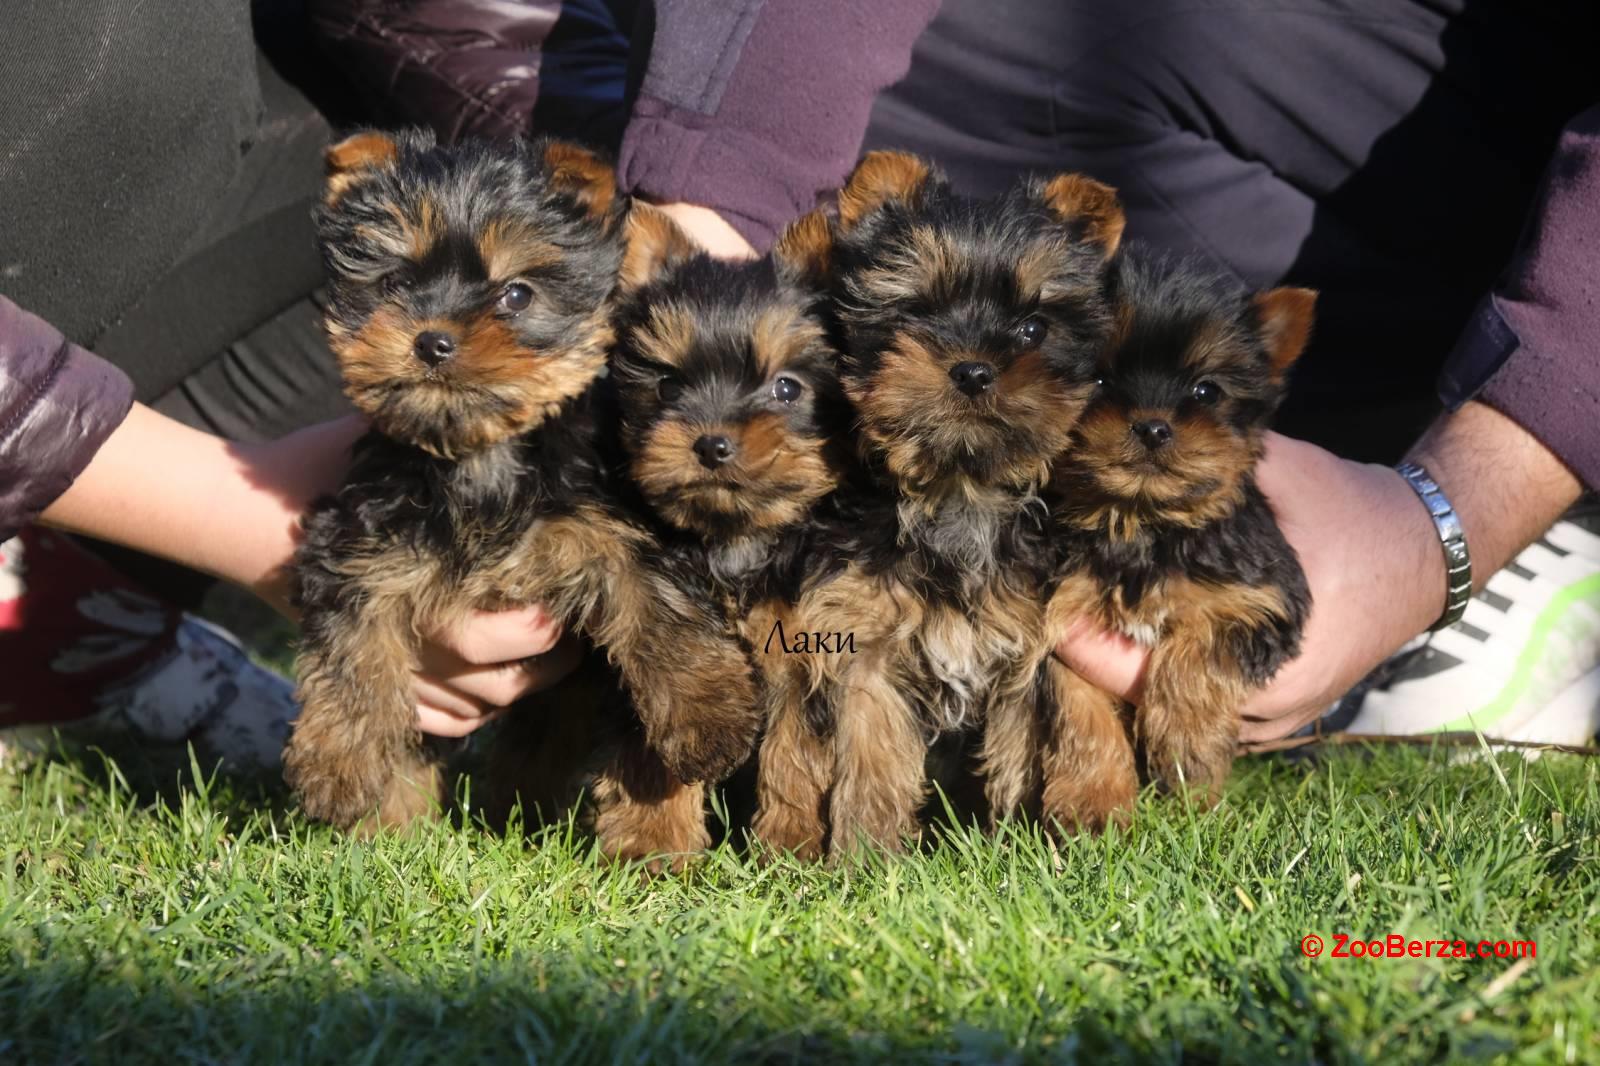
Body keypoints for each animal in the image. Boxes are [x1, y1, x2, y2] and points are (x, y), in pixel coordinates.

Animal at [286, 132, 755, 832]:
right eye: (394, 282)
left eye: (516, 295)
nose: (433, 341)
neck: (482, 457)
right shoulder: (358, 538)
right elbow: (352, 645)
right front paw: (336, 764)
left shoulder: (617, 526)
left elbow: (662, 604)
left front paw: (709, 717)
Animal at [758, 149, 1126, 851]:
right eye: (918, 312)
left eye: (1033, 328)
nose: (974, 369)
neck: (958, 488)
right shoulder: (865, 642)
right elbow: (872, 755)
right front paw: (867, 855)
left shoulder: (1021, 642)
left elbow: (1016, 751)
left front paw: (1014, 845)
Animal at [1030, 251, 1318, 832]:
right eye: (1098, 378)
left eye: (1206, 391)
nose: (1153, 427)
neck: (1137, 523)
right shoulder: (1058, 620)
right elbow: (1077, 703)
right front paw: (1093, 804)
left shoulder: (1262, 599)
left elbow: (1201, 649)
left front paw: (1188, 751)